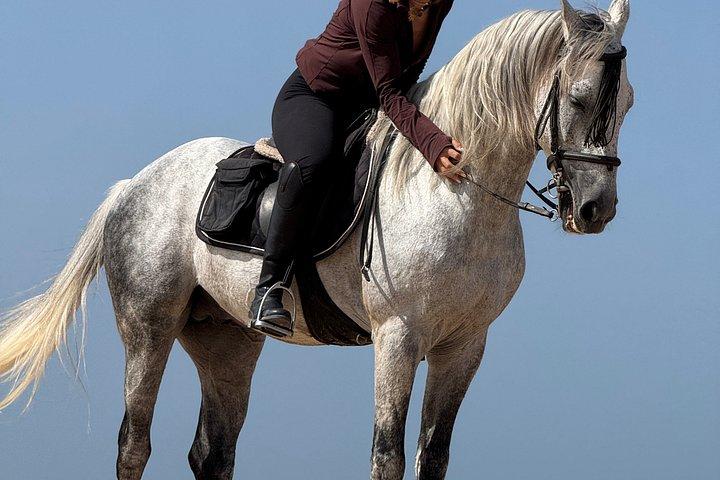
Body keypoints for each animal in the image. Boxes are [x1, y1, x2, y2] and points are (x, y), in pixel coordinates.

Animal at [0, 1, 633, 478]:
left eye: (627, 102)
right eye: (578, 98)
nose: (595, 209)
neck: (456, 192)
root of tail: (136, 184)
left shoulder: (464, 347)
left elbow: (433, 457)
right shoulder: (398, 338)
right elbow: (388, 457)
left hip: (227, 341)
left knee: (212, 453)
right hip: (147, 327)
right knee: (134, 444)